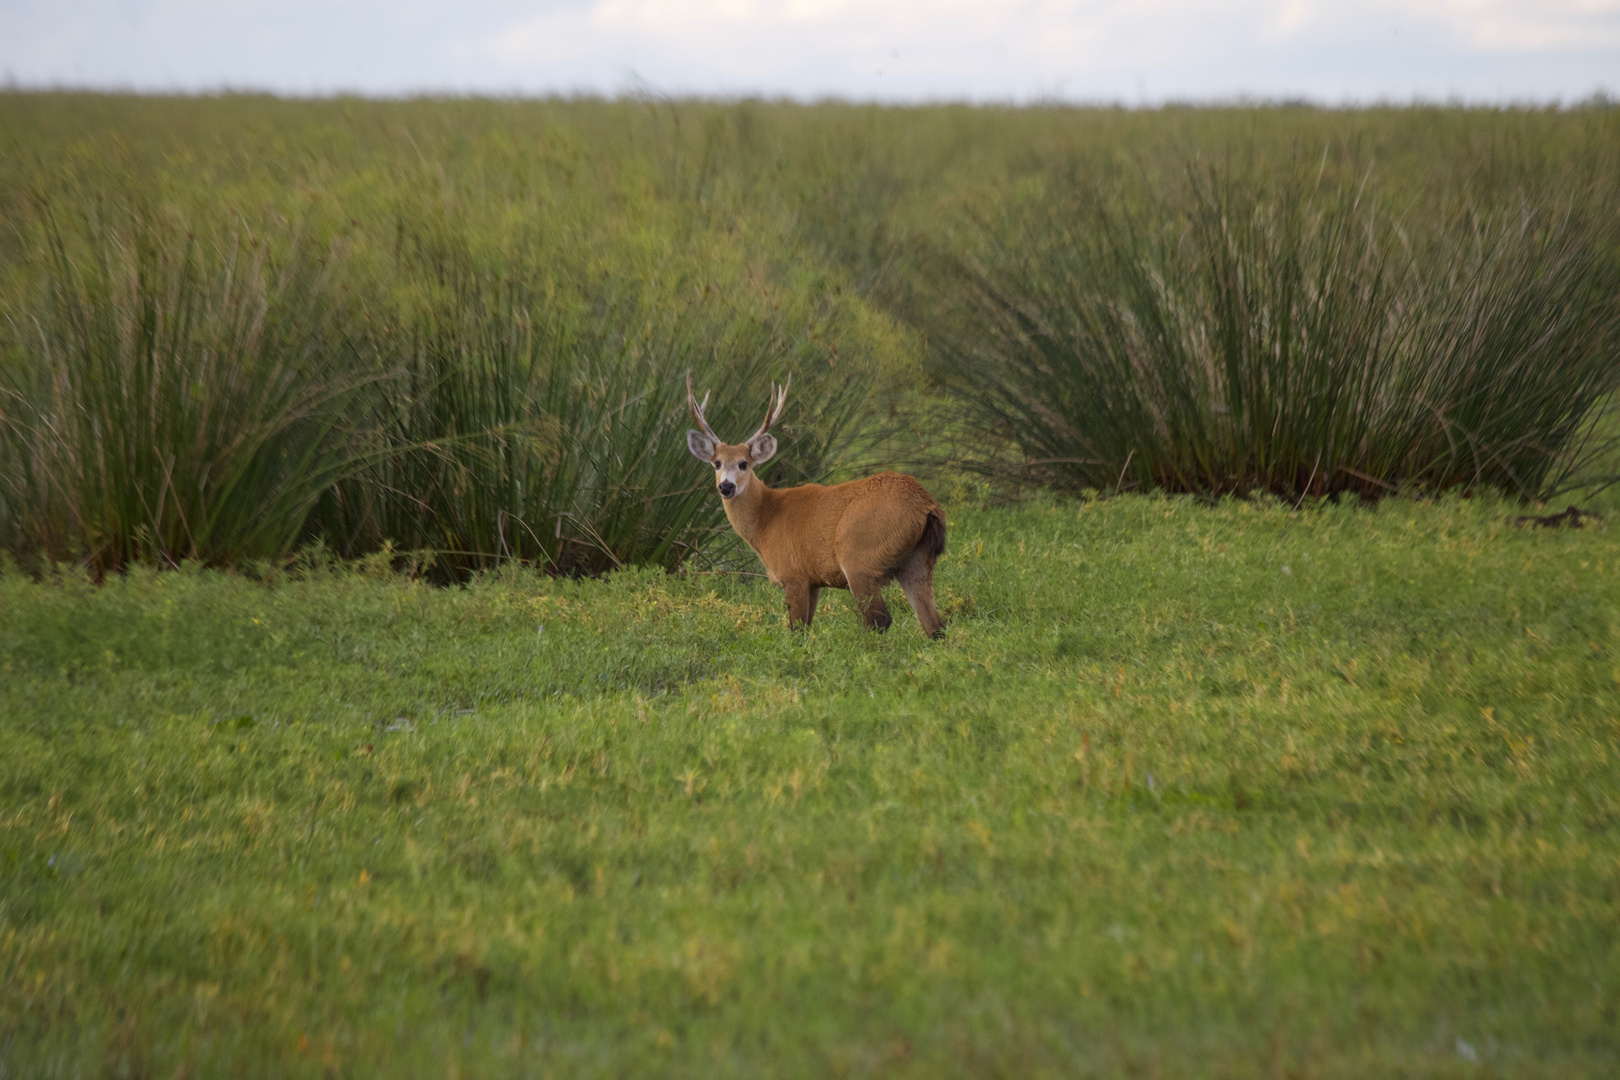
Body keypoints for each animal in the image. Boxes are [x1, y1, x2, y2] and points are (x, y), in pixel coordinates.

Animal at [686, 375, 946, 637]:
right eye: (717, 463)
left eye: (743, 463)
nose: (726, 486)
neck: (766, 520)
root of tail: (927, 505)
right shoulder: (813, 582)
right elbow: (806, 628)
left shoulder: (794, 575)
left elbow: (796, 630)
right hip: (918, 561)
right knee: (936, 625)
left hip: (859, 557)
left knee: (879, 620)